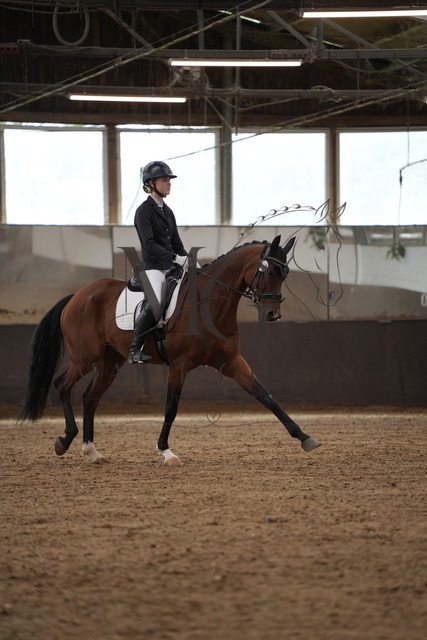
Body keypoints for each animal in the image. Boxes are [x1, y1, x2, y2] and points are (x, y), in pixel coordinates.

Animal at [19, 235, 321, 465]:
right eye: (268, 272)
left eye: (285, 274)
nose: (273, 314)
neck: (208, 305)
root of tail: (78, 295)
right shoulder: (179, 364)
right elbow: (171, 408)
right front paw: (166, 451)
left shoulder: (232, 361)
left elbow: (265, 396)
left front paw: (305, 437)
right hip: (85, 357)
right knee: (62, 385)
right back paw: (65, 440)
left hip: (109, 361)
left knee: (90, 397)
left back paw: (91, 452)